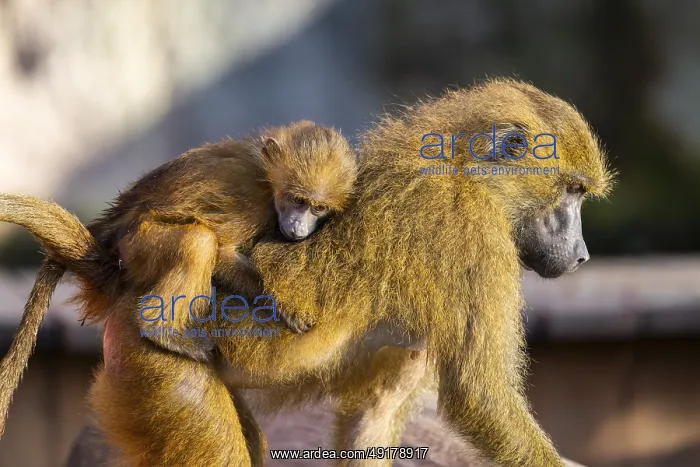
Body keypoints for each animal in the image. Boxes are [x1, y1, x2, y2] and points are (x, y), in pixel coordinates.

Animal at [1, 78, 614, 467]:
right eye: (572, 192)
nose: (583, 255)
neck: (462, 172)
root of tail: (118, 277)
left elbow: (373, 420)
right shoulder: (472, 239)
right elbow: (480, 396)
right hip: (164, 375)